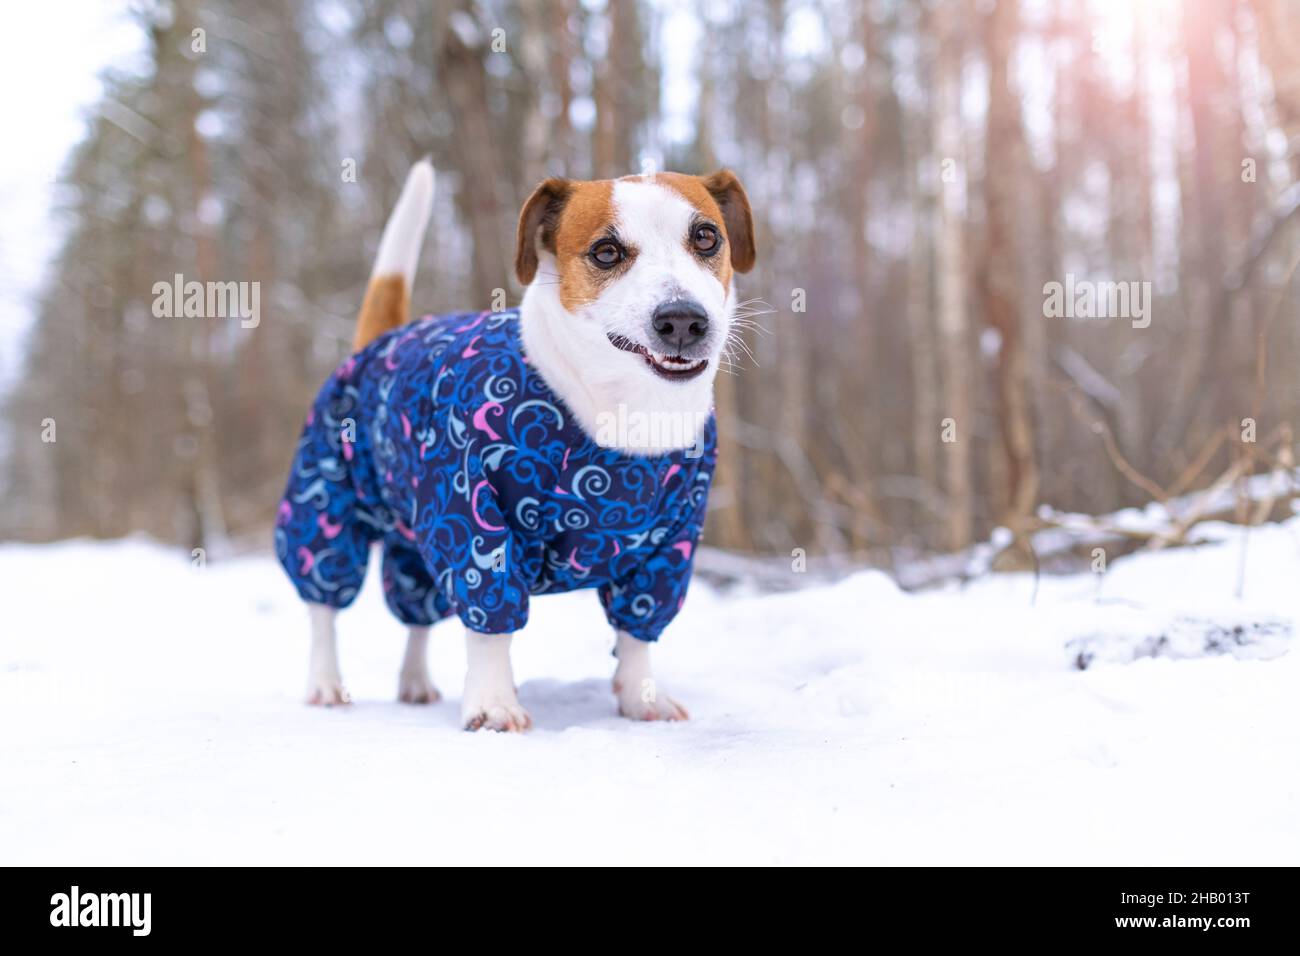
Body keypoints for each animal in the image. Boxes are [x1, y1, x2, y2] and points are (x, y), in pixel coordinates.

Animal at [279, 160, 759, 733]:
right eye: (606, 251)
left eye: (706, 237)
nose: (683, 319)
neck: (625, 415)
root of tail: (381, 340)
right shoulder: (470, 520)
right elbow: (489, 621)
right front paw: (492, 703)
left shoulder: (669, 546)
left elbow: (637, 630)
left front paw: (642, 696)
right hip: (329, 499)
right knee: (323, 605)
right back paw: (326, 683)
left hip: (409, 530)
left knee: (416, 610)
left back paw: (414, 682)